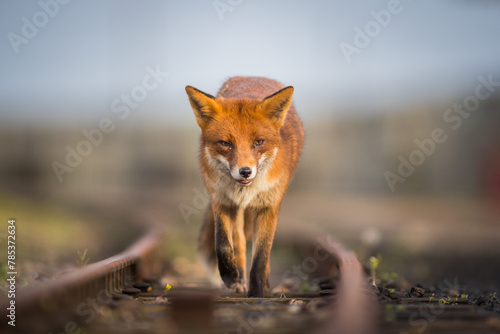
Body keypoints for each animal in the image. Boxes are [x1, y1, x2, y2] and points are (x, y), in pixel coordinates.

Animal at [186, 76, 304, 298]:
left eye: (259, 142)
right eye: (225, 143)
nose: (245, 171)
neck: (245, 191)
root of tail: (254, 76)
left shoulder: (267, 208)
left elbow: (261, 257)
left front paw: (257, 293)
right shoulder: (222, 202)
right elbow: (223, 245)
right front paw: (230, 276)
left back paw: (263, 283)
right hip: (238, 212)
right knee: (239, 242)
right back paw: (239, 278)